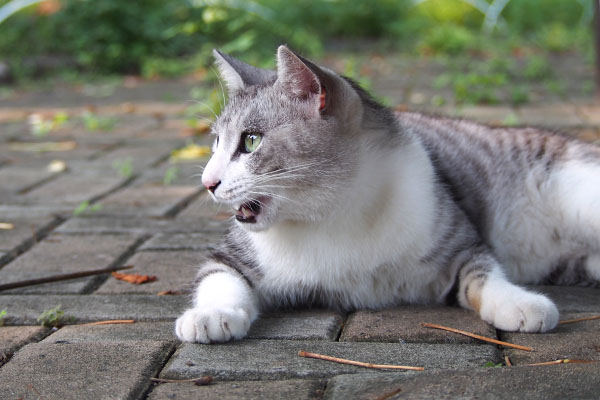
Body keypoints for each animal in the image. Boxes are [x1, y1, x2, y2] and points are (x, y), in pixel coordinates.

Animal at [175, 45, 600, 342]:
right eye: (215, 143)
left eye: (251, 141)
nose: (207, 182)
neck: (333, 214)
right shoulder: (233, 255)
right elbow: (219, 278)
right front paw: (211, 316)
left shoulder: (460, 242)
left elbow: (486, 276)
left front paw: (519, 303)